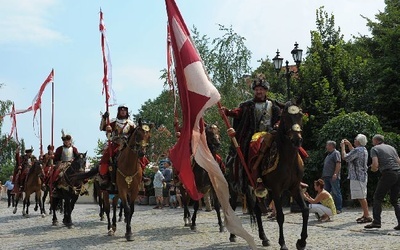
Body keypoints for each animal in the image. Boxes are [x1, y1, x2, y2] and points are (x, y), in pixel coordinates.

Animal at [227, 100, 308, 250]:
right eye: (285, 118)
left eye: (300, 115)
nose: (297, 140)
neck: (288, 159)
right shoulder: (276, 190)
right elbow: (280, 216)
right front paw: (283, 244)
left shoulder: (294, 187)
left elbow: (305, 210)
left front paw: (301, 242)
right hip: (235, 186)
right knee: (233, 206)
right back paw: (233, 235)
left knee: (258, 210)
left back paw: (264, 238)